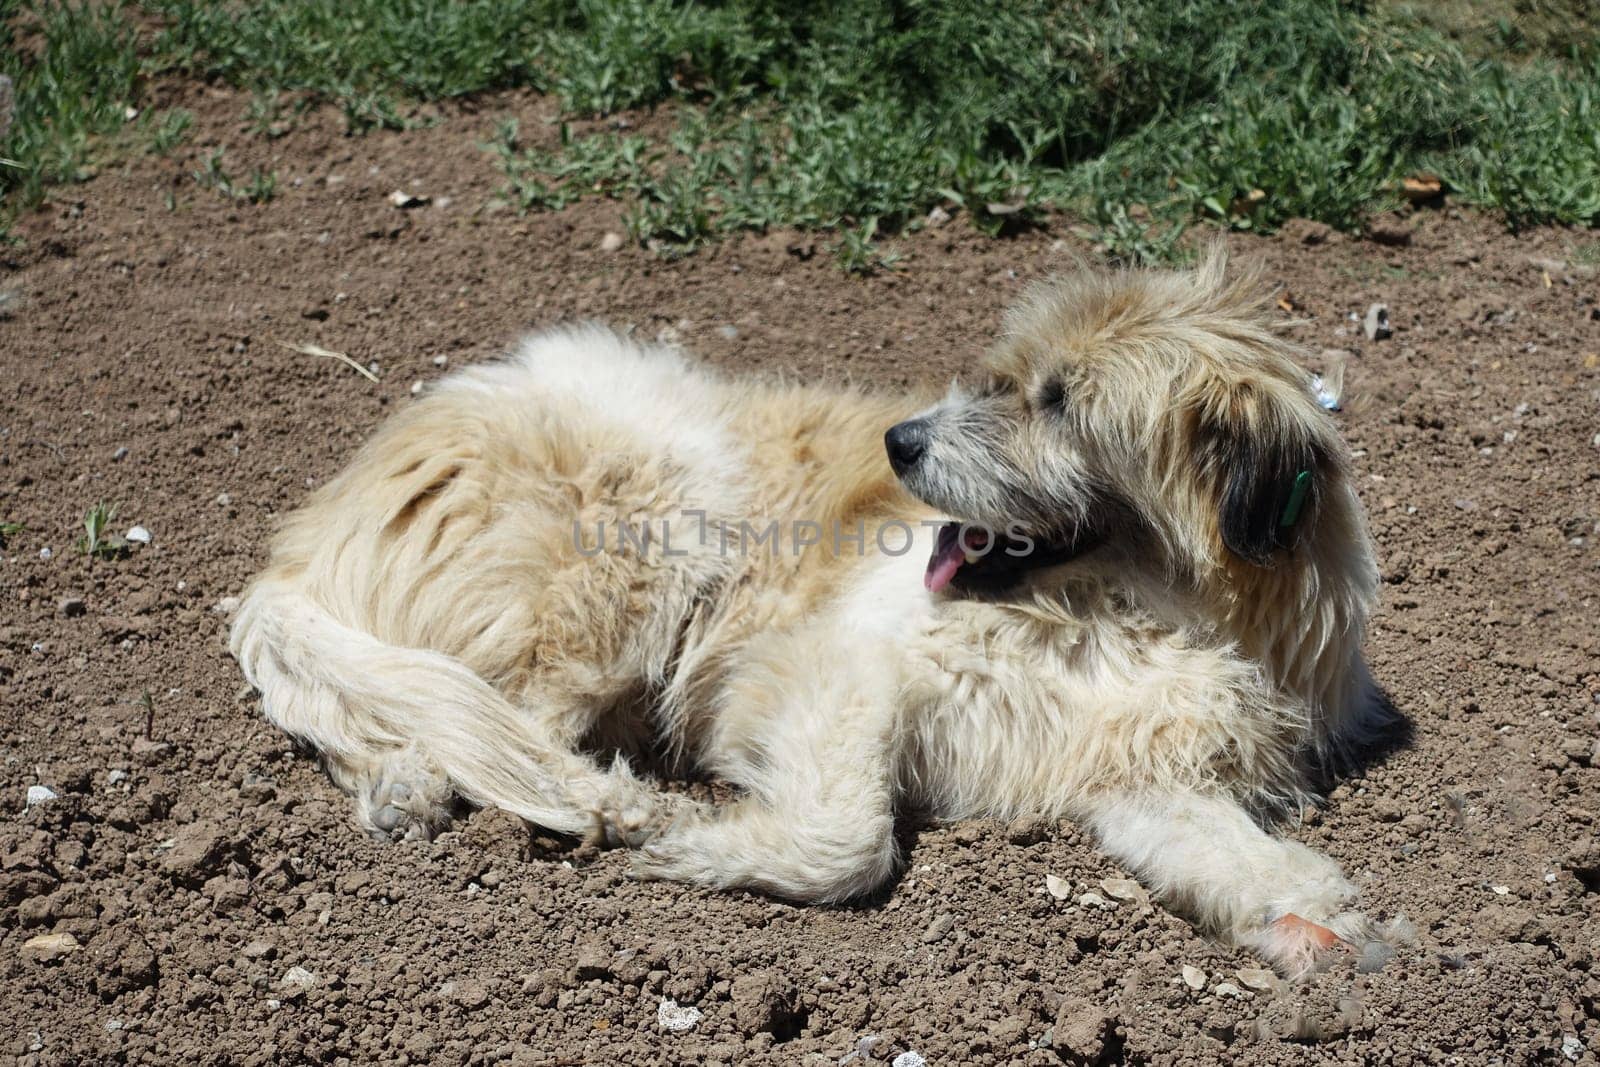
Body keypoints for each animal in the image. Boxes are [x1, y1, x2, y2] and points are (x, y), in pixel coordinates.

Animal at [232, 247, 1395, 979]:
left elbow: (1241, 855)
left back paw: (408, 786)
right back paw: (584, 800)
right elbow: (850, 840)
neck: (1127, 613)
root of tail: (309, 532)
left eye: (1060, 405)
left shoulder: (1142, 774)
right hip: (655, 526)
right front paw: (702, 843)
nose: (901, 441)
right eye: (1006, 381)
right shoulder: (833, 668)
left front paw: (1328, 923)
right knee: (500, 717)